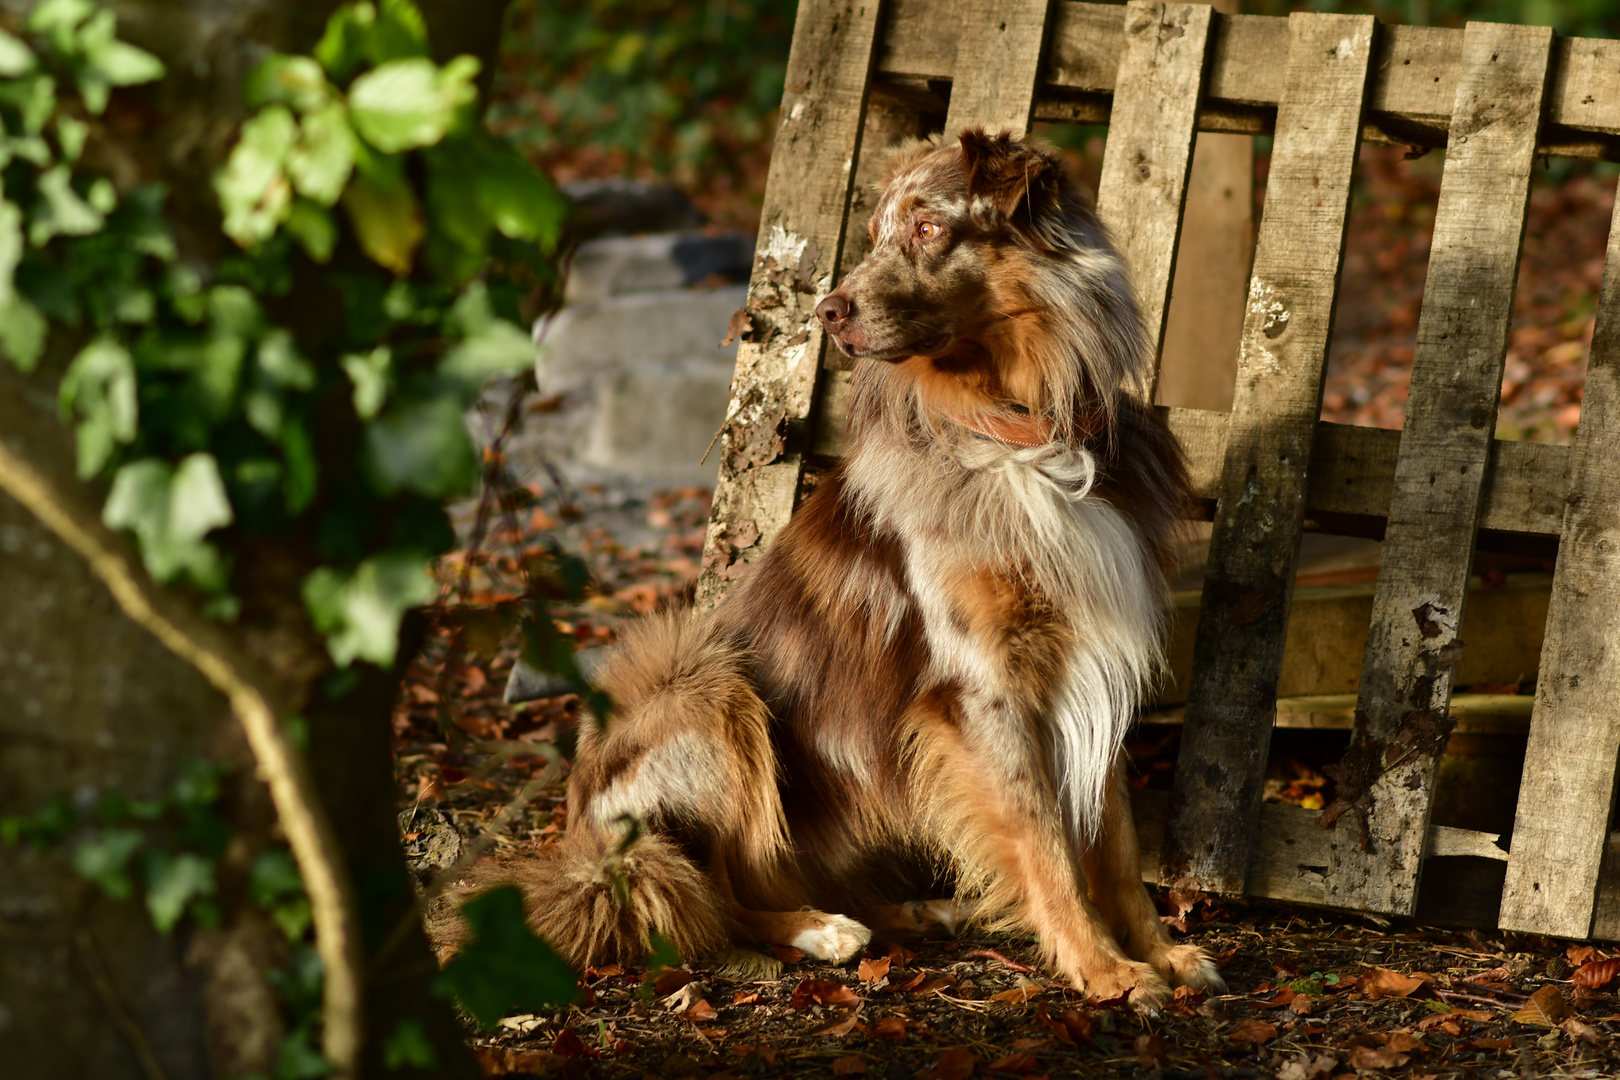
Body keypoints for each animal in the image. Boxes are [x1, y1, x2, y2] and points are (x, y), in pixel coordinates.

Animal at [473, 131, 1218, 1010]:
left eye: (928, 229)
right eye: (872, 237)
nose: (829, 312)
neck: (1023, 436)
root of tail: (577, 839)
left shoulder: (1091, 660)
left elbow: (1115, 843)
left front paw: (1162, 953)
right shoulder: (982, 687)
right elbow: (1046, 843)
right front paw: (1105, 970)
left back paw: (917, 910)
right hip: (702, 684)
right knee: (705, 892)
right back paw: (821, 930)